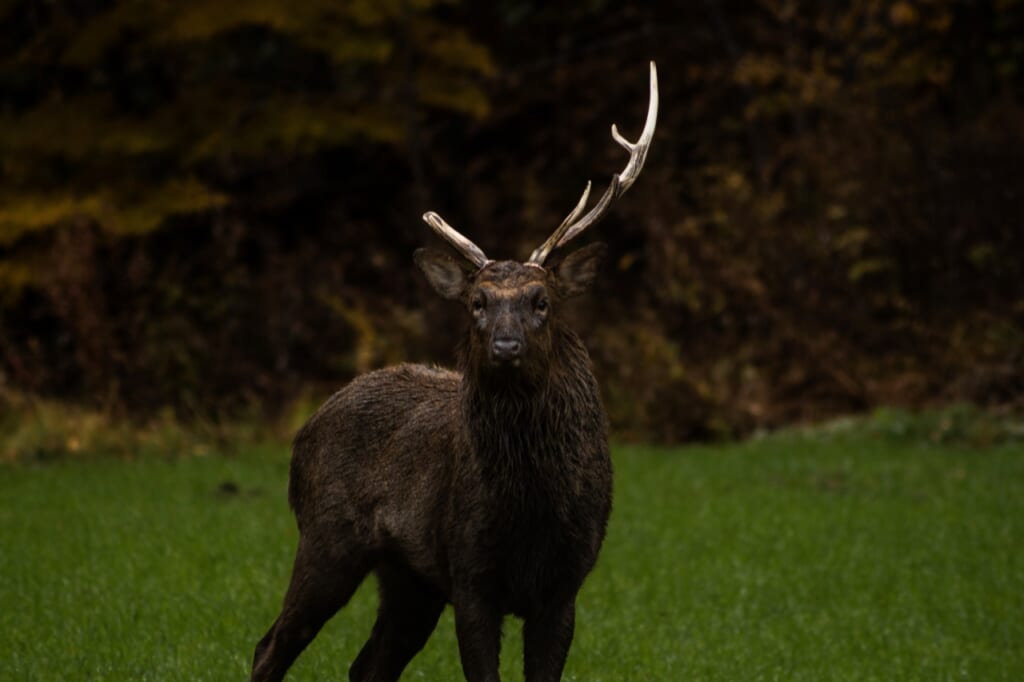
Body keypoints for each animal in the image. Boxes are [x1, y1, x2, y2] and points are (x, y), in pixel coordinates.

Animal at [251, 63, 659, 679]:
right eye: (476, 302)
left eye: (542, 300)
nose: (505, 345)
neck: (529, 506)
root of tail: (306, 429)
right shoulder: (468, 570)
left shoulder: (566, 582)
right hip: (326, 536)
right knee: (272, 644)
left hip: (408, 580)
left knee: (367, 663)